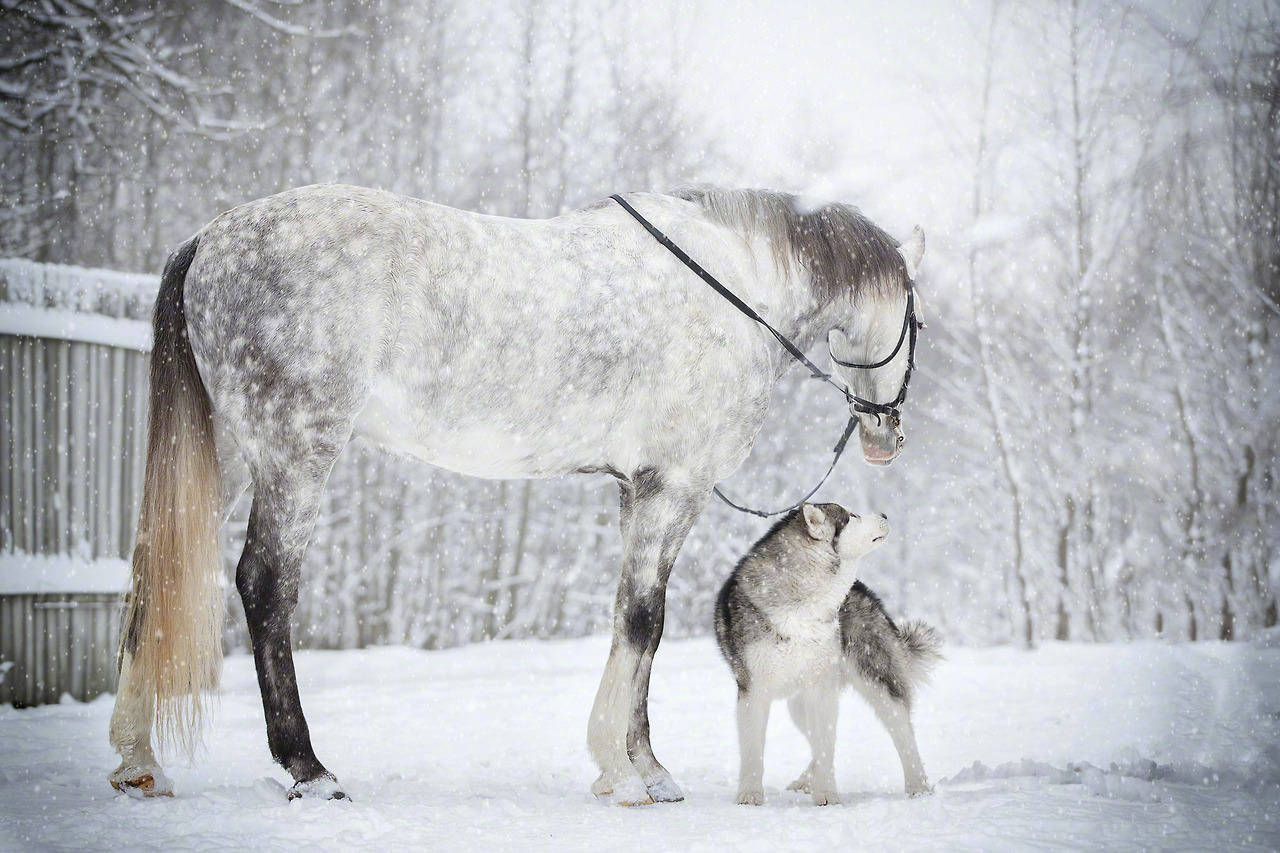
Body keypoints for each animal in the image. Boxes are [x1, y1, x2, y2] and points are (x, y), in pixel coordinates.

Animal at [107, 183, 921, 799]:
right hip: (295, 452)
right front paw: (622, 771)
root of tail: (211, 237)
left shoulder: (641, 492)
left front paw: (645, 767)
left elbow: (636, 620)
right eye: (916, 313)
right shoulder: (671, 488)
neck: (731, 287)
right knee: (264, 584)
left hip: (233, 453)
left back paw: (138, 762)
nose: (886, 438)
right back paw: (308, 769)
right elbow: (643, 621)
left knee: (155, 572)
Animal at [711, 502, 942, 809]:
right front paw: (750, 796)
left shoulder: (821, 689)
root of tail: (863, 591)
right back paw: (804, 781)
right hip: (799, 704)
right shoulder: (753, 692)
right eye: (853, 516)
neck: (802, 606)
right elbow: (753, 750)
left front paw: (828, 796)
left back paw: (919, 787)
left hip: (877, 681)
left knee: (902, 732)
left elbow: (826, 747)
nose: (884, 514)